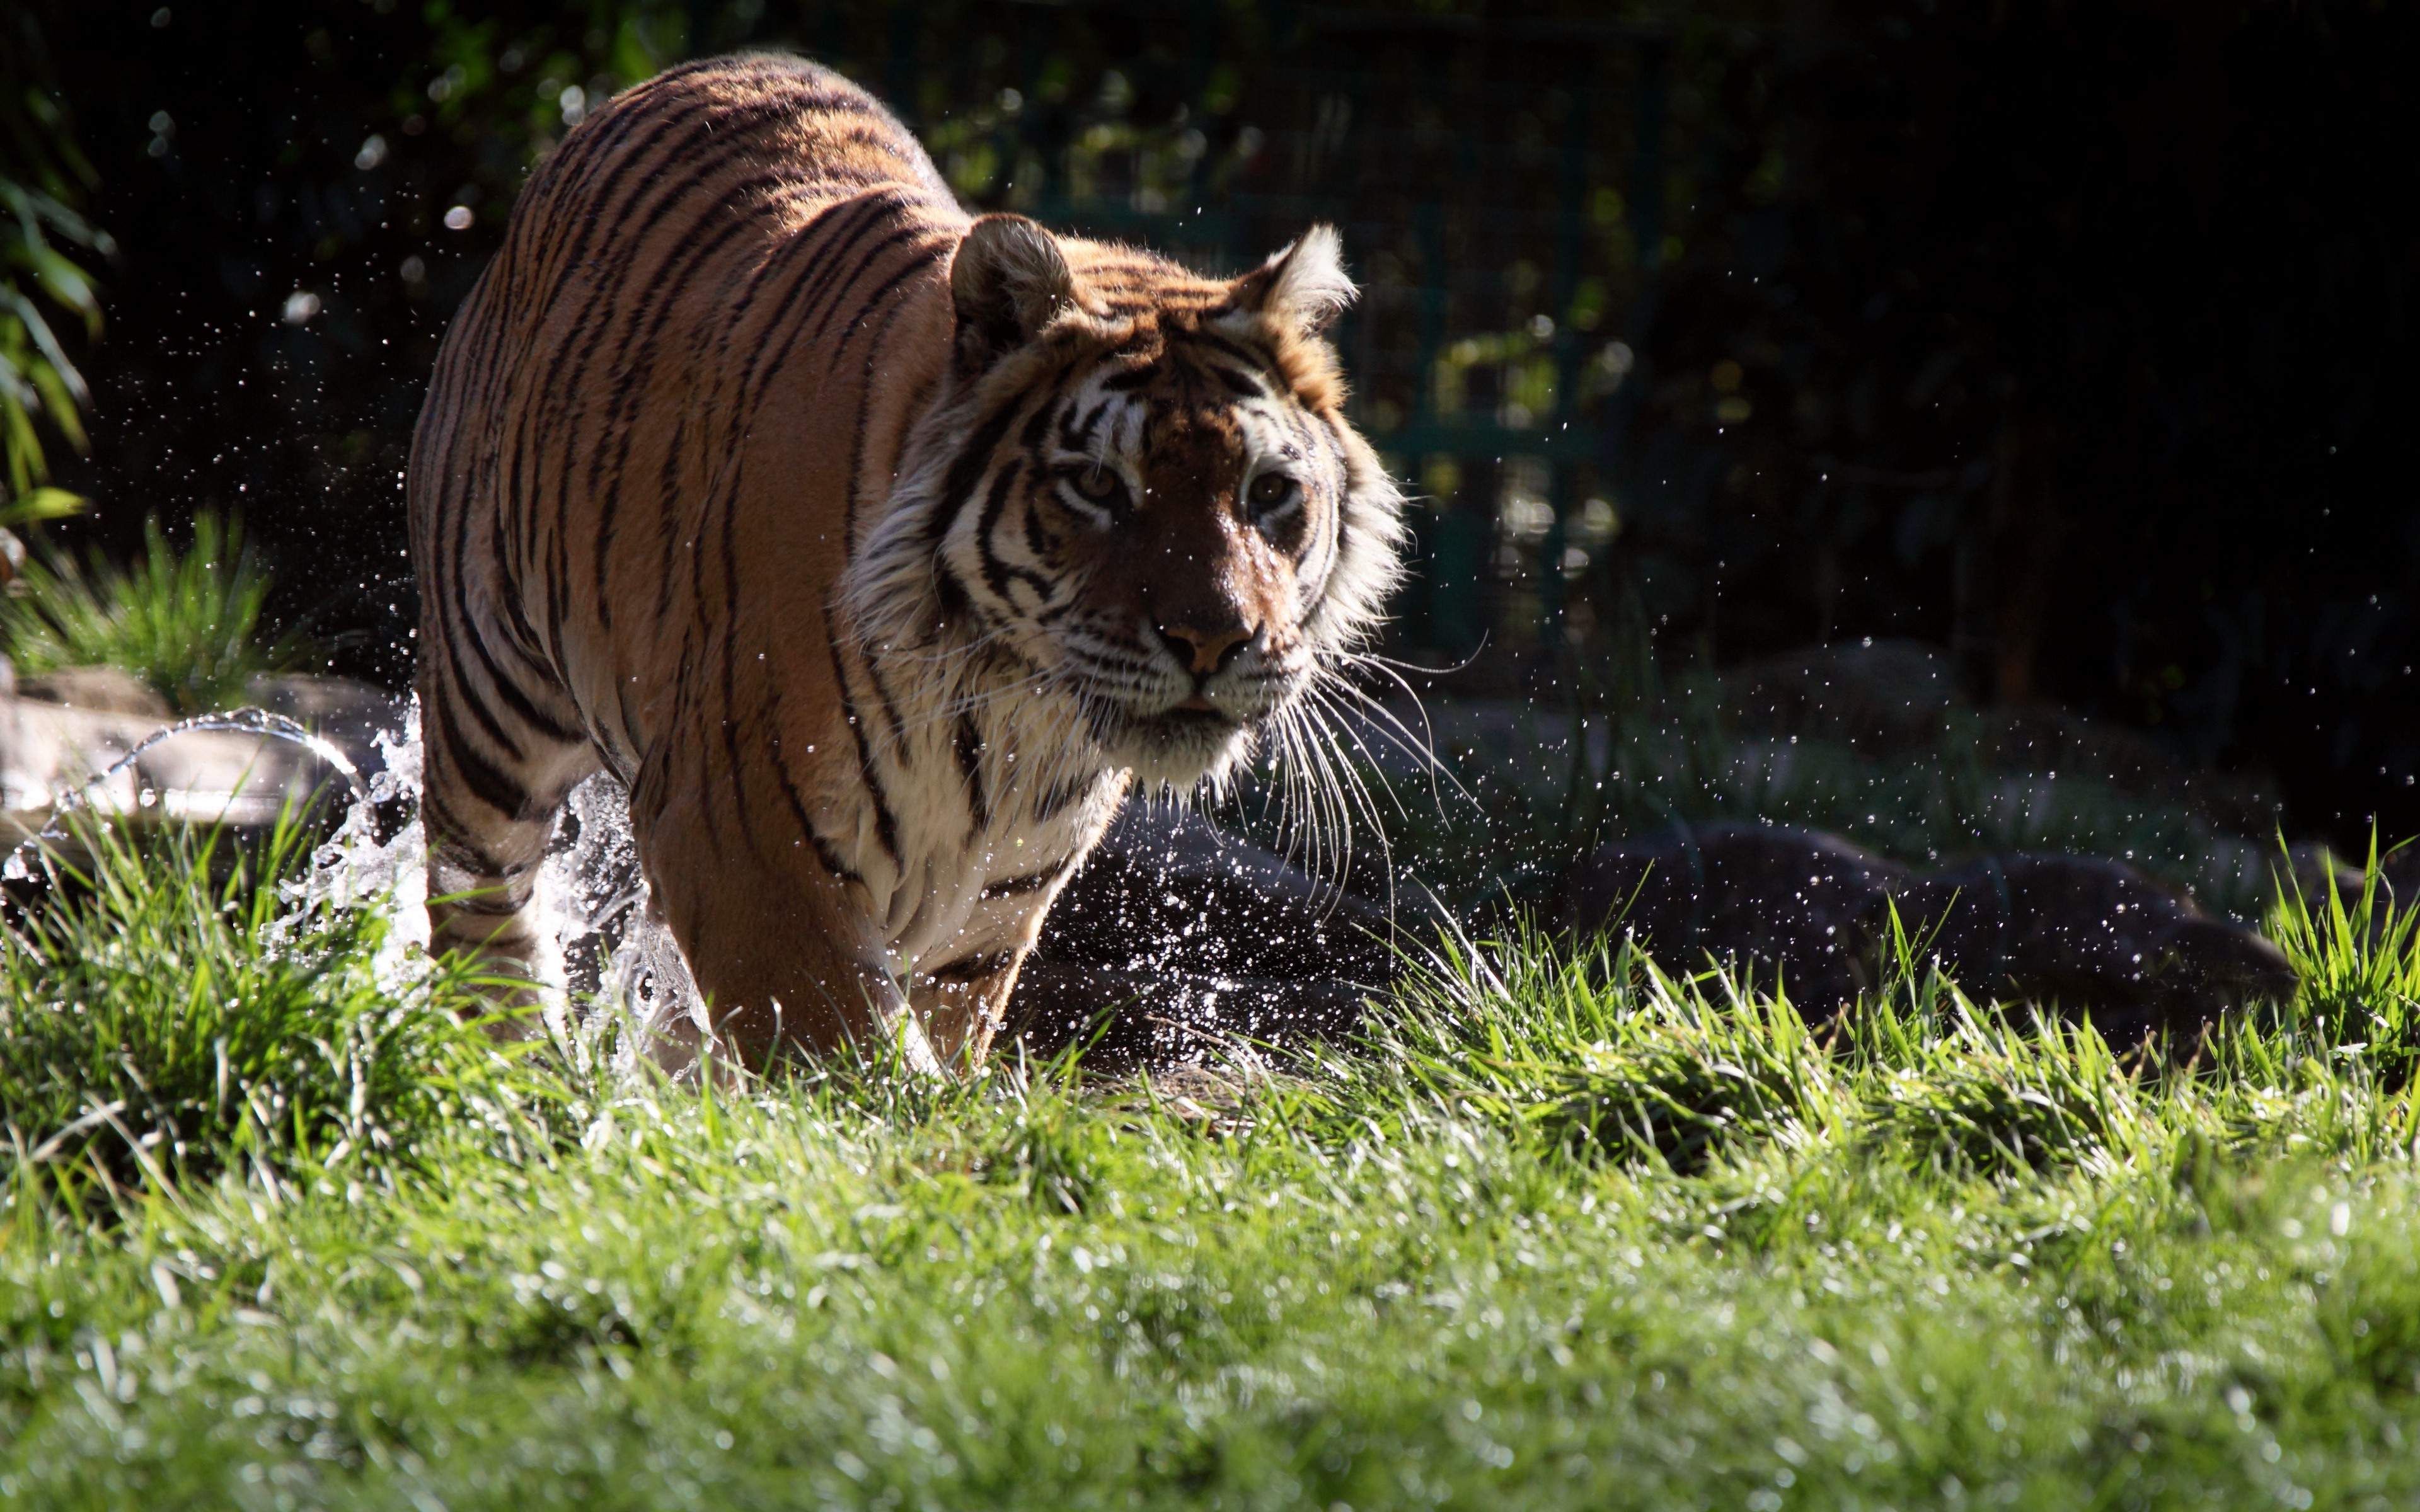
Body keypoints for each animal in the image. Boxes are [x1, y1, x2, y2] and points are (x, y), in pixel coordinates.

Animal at [408, 55, 1413, 1074]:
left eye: (1267, 492)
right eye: (1098, 483)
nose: (1213, 640)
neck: (1010, 714)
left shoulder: (990, 915)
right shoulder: (737, 830)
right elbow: (863, 1058)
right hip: (490, 700)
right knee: (483, 905)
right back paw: (502, 1075)